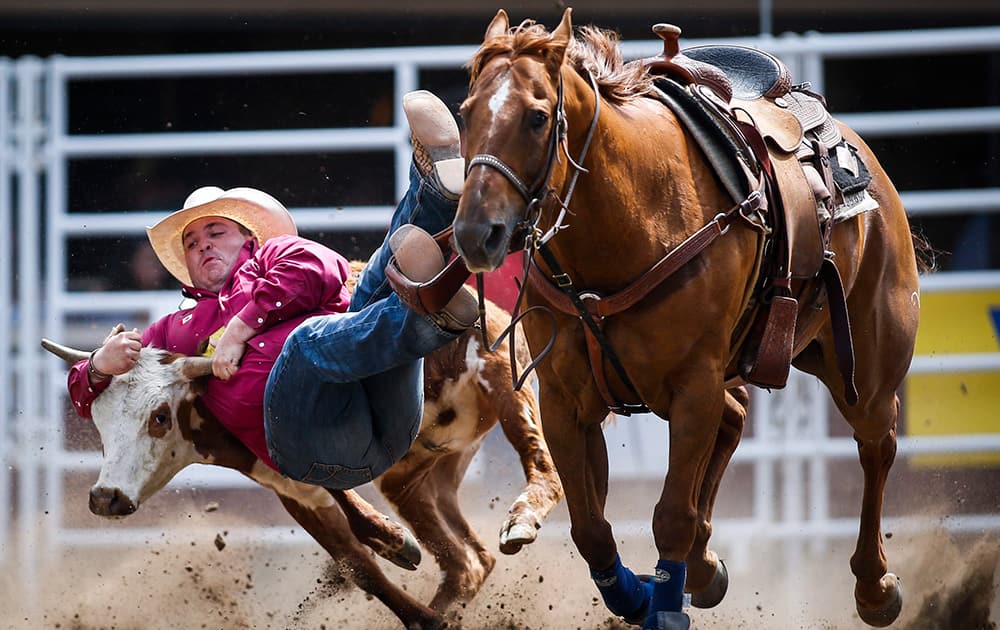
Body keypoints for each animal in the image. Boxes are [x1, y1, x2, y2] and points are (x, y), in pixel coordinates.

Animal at [454, 9, 920, 630]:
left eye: (536, 117)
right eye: (465, 113)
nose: (474, 233)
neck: (631, 216)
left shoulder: (693, 385)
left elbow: (670, 513)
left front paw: (664, 605)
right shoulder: (564, 399)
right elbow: (590, 527)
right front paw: (636, 594)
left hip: (867, 367)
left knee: (876, 444)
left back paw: (874, 585)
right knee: (736, 418)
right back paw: (703, 566)